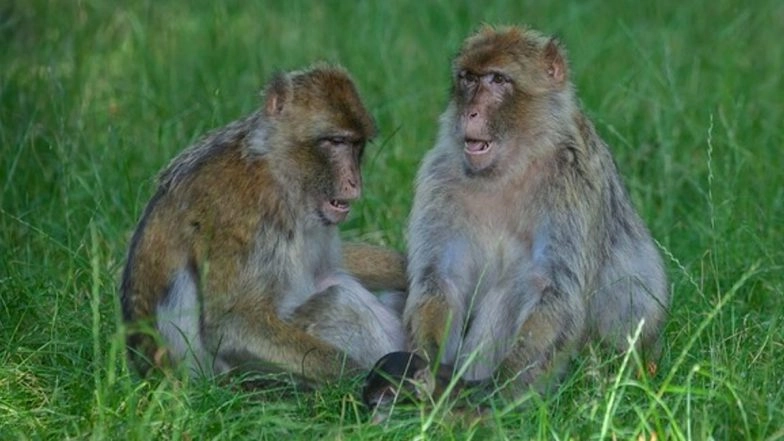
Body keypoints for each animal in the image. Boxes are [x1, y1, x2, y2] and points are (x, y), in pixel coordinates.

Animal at [119, 64, 409, 385]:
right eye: (335, 142)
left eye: (356, 145)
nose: (355, 183)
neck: (276, 167)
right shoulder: (241, 211)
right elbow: (234, 326)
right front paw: (363, 378)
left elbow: (329, 266)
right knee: (337, 298)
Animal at [399, 25, 669, 398]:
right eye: (468, 79)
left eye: (498, 79)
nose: (469, 113)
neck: (511, 167)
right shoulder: (439, 176)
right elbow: (442, 278)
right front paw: (427, 366)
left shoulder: (571, 178)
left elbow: (550, 287)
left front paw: (500, 389)